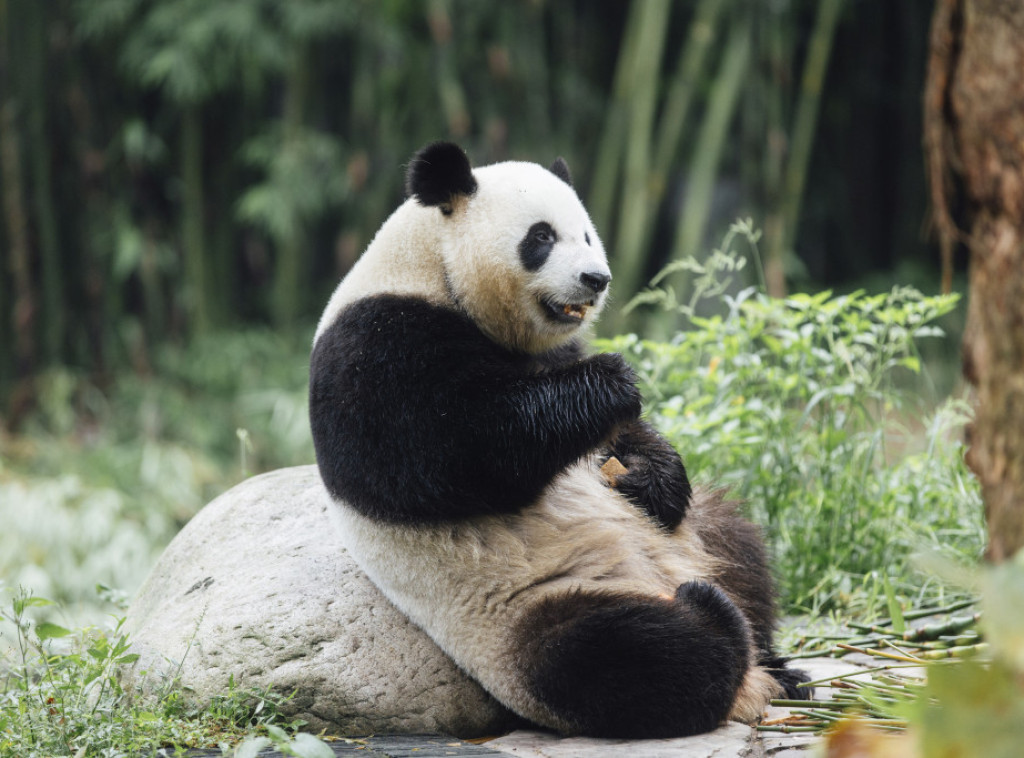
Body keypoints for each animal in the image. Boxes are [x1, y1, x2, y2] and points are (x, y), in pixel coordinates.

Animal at [307, 139, 802, 737]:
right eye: (541, 237)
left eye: (587, 234)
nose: (597, 278)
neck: (434, 268)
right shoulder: (375, 346)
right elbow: (455, 454)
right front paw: (612, 382)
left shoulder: (554, 347)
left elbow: (622, 442)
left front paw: (652, 477)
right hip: (522, 613)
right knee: (618, 655)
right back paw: (713, 620)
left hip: (695, 537)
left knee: (740, 544)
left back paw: (779, 662)